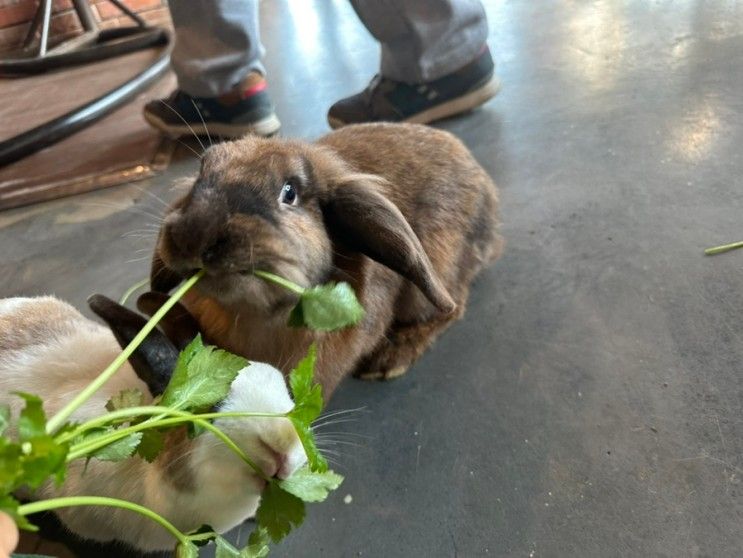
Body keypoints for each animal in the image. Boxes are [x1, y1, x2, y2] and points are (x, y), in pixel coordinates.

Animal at [148, 124, 502, 400]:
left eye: (289, 193)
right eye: (202, 171)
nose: (193, 234)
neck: (256, 318)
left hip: (430, 284)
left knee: (452, 308)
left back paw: (390, 359)